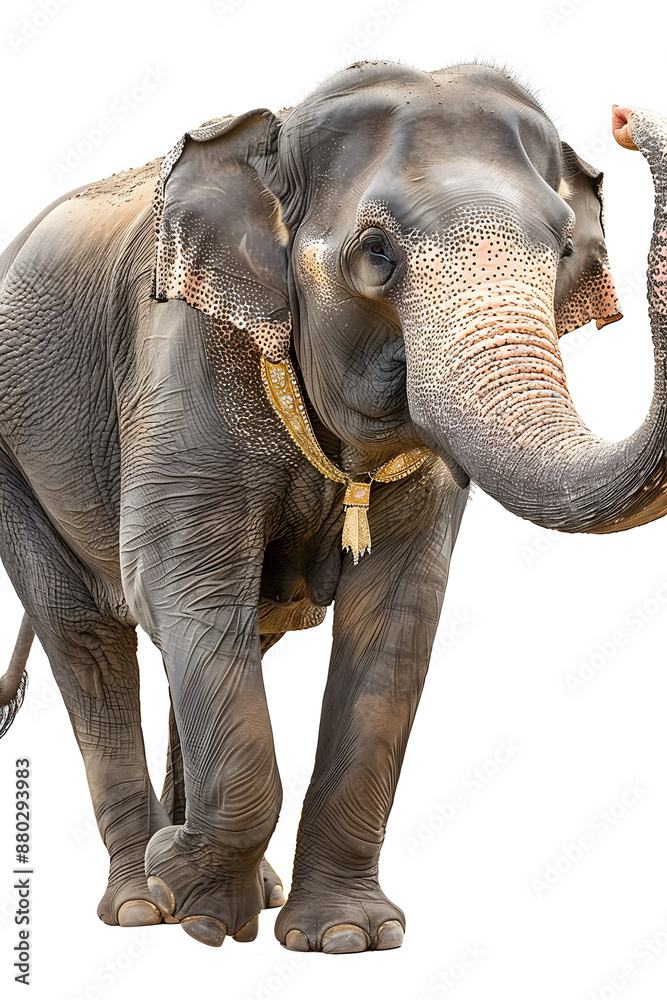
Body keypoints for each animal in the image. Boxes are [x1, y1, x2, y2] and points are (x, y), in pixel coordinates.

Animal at [0, 60, 665, 955]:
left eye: (561, 249)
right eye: (375, 252)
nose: (625, 118)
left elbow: (398, 613)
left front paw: (342, 937)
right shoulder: (176, 361)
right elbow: (179, 583)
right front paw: (201, 914)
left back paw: (220, 887)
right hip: (18, 467)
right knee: (88, 636)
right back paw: (143, 904)